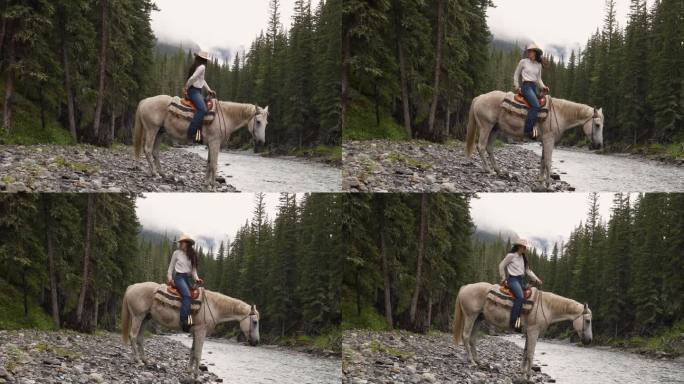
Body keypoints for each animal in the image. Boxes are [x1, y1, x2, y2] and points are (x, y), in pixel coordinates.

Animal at [121, 282, 260, 380]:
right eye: (255, 322)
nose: (256, 342)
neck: (213, 306)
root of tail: (131, 287)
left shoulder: (194, 332)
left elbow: (192, 351)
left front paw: (189, 371)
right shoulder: (200, 331)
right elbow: (198, 353)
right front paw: (197, 376)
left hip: (145, 318)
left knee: (140, 338)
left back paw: (145, 360)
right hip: (138, 316)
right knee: (133, 336)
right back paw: (138, 361)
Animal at [132, 96, 268, 189]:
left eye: (266, 123)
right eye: (258, 122)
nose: (261, 142)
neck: (225, 115)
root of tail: (145, 101)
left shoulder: (210, 144)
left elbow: (208, 163)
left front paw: (206, 184)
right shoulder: (214, 143)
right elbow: (214, 164)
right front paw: (213, 186)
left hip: (160, 132)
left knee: (155, 152)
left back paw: (163, 175)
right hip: (152, 129)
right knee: (148, 149)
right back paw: (154, 173)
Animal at [452, 282, 592, 380]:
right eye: (588, 321)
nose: (589, 341)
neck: (546, 306)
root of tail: (465, 287)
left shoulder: (528, 333)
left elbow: (525, 352)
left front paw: (523, 373)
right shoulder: (533, 332)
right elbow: (530, 353)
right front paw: (529, 376)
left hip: (478, 319)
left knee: (472, 339)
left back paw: (479, 361)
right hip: (470, 316)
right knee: (466, 336)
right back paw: (471, 361)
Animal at [464, 92, 604, 190]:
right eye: (597, 125)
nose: (599, 145)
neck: (559, 114)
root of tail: (479, 97)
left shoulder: (544, 141)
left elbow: (542, 161)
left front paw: (541, 183)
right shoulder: (549, 139)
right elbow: (548, 161)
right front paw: (549, 185)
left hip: (495, 129)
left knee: (489, 148)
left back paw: (499, 171)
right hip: (486, 126)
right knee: (481, 146)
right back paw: (488, 170)